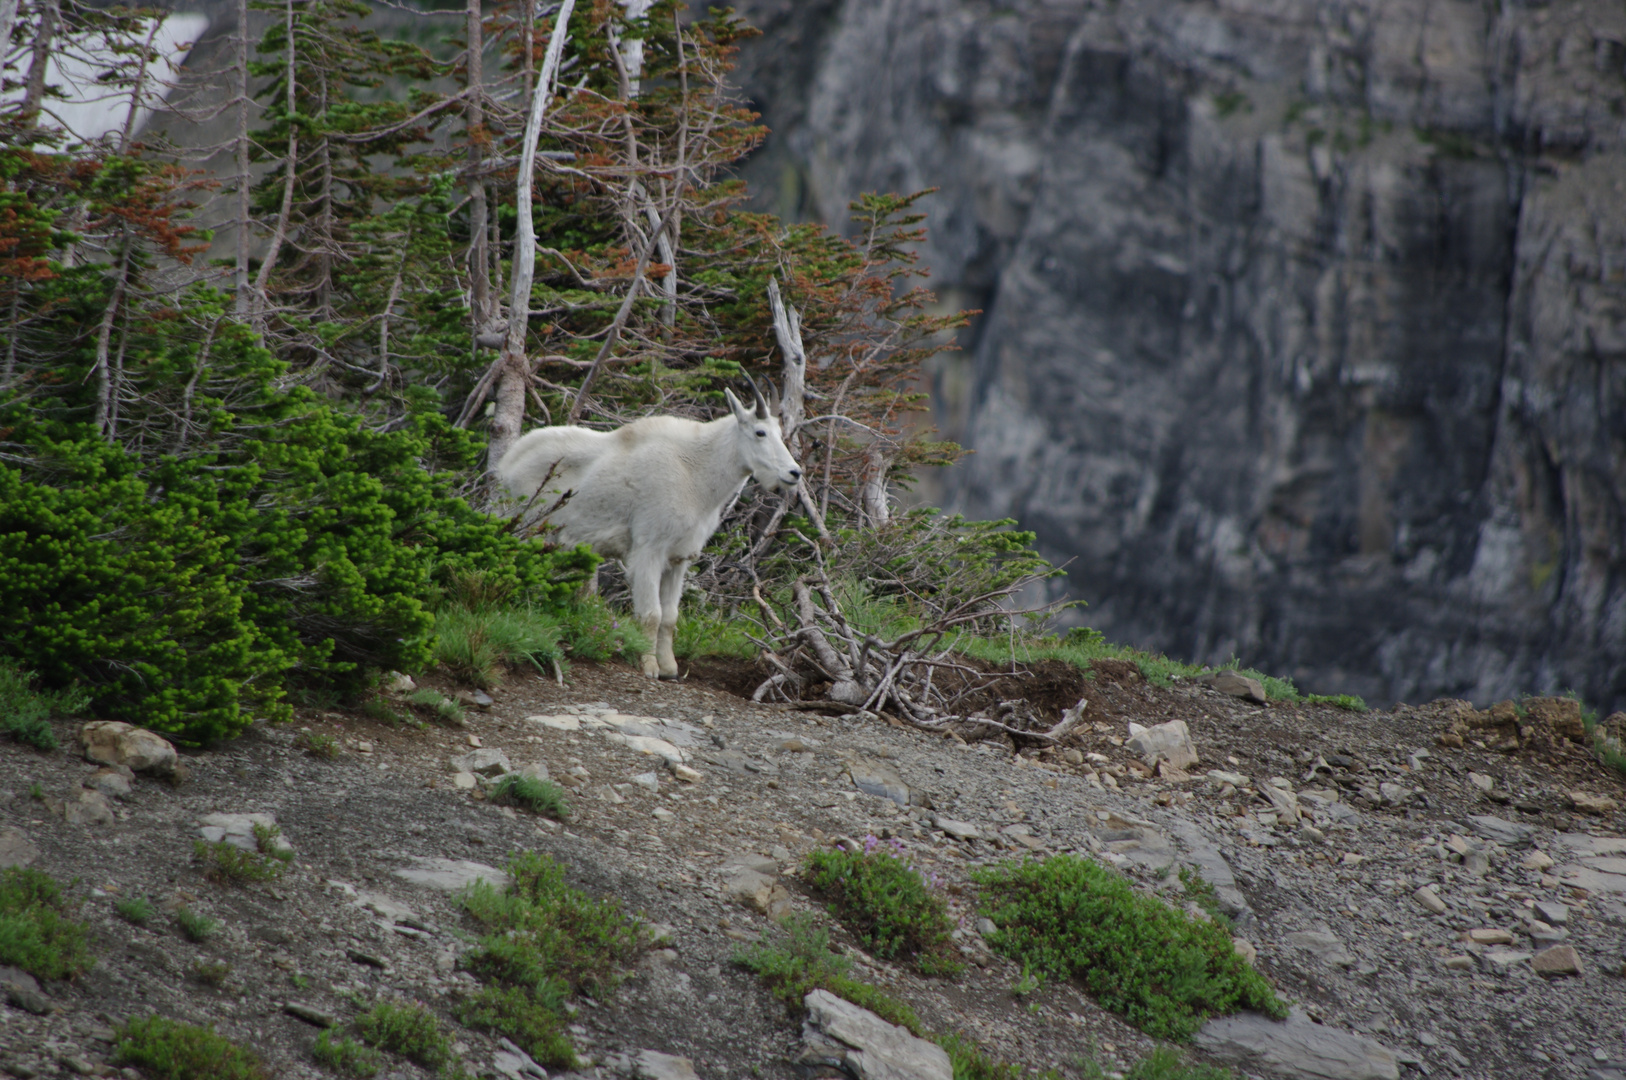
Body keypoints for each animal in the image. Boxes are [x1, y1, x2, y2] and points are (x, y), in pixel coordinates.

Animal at [494, 383, 799, 679]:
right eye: (760, 432)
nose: (794, 473)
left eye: (780, 433)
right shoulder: (648, 550)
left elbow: (670, 617)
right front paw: (650, 666)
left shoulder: (678, 558)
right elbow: (651, 614)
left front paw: (670, 669)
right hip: (525, 526)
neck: (696, 472)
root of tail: (506, 464)